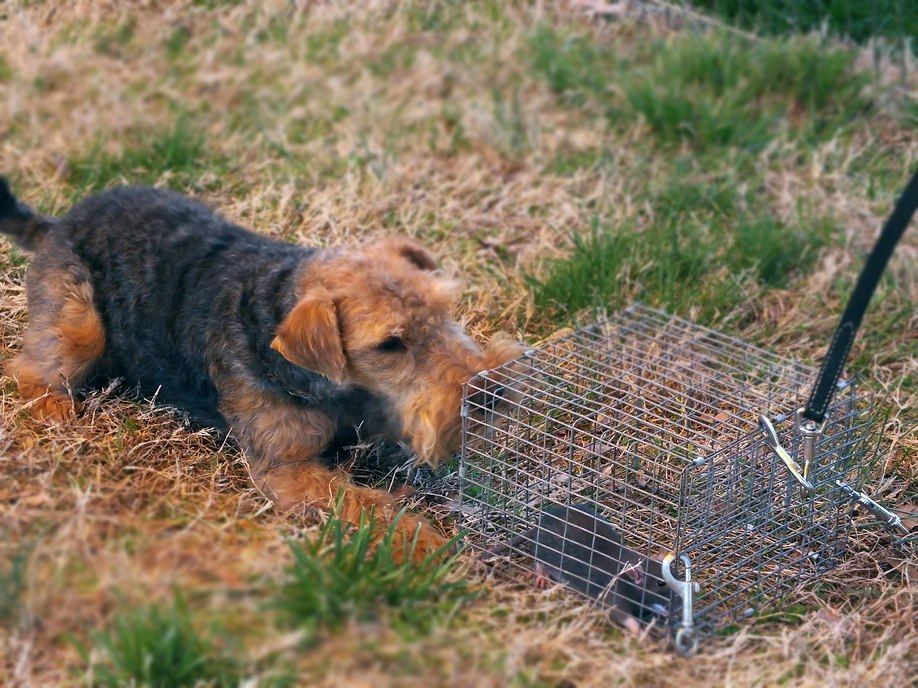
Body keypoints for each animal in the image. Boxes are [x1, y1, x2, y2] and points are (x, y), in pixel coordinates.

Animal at [0, 180, 524, 560]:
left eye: (443, 308)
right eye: (390, 344)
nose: (491, 391)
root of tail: (62, 222)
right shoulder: (287, 470)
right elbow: (363, 502)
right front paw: (427, 542)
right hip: (80, 323)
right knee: (29, 366)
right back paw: (53, 410)